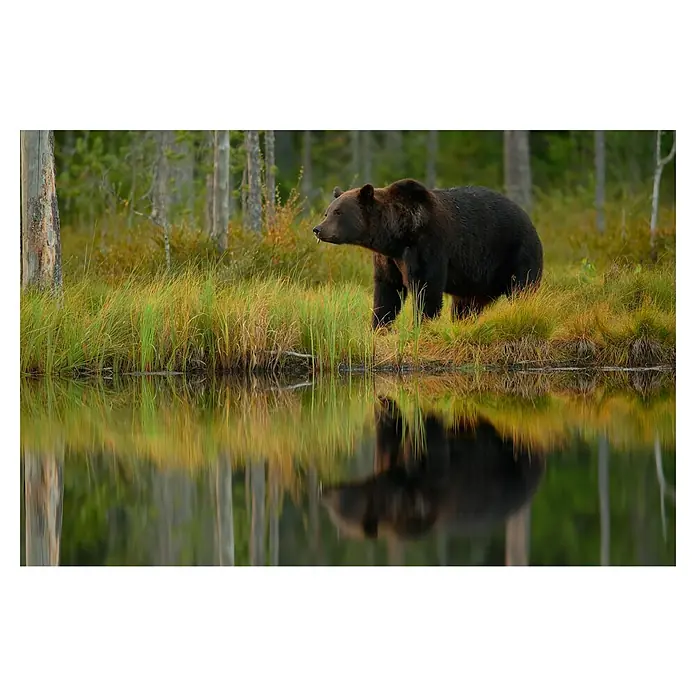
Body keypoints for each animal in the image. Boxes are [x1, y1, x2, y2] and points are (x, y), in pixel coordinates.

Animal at [312, 178, 544, 328]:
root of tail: (529, 218)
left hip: (515, 252)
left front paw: (421, 326)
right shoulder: (388, 259)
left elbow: (427, 288)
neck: (396, 236)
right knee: (466, 305)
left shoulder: (427, 246)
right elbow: (387, 292)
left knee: (523, 288)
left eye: (338, 212)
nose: (318, 229)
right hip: (476, 279)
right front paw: (379, 326)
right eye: (327, 212)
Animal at [320, 396, 545, 542]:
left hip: (514, 460)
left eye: (335, 508)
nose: (324, 491)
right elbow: (390, 429)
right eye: (332, 513)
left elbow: (429, 438)